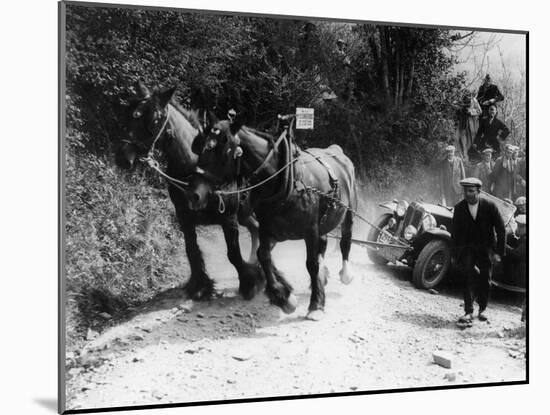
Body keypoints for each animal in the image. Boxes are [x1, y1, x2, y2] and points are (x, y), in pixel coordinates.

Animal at [114, 82, 266, 302]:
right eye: (128, 113)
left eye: (153, 119)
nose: (122, 157)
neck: (192, 166)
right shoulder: (184, 216)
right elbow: (192, 251)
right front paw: (200, 286)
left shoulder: (228, 217)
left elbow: (233, 254)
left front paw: (250, 283)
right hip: (244, 213)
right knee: (254, 227)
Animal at [189, 115, 358, 320]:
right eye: (201, 148)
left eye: (223, 153)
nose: (195, 194)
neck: (287, 183)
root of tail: (336, 150)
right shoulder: (268, 228)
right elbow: (263, 255)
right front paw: (283, 297)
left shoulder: (310, 230)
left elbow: (311, 264)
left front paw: (315, 305)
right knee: (323, 243)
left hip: (349, 211)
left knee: (346, 239)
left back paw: (346, 273)